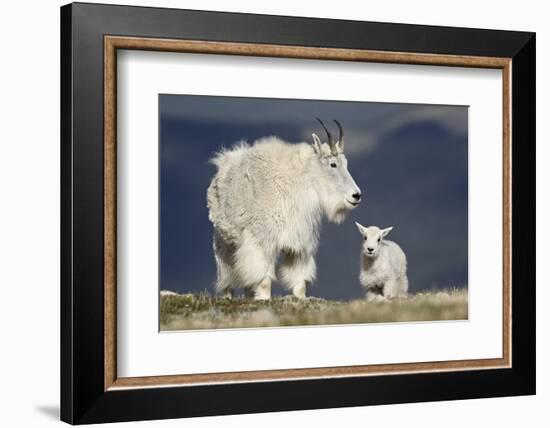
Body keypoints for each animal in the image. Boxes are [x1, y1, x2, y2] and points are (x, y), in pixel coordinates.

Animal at [207, 119, 362, 300]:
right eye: (333, 164)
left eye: (346, 164)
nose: (356, 195)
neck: (297, 183)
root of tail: (223, 164)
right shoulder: (261, 240)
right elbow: (264, 279)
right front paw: (264, 299)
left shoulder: (299, 243)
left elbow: (299, 280)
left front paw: (300, 298)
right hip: (223, 241)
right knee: (227, 273)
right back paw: (228, 296)